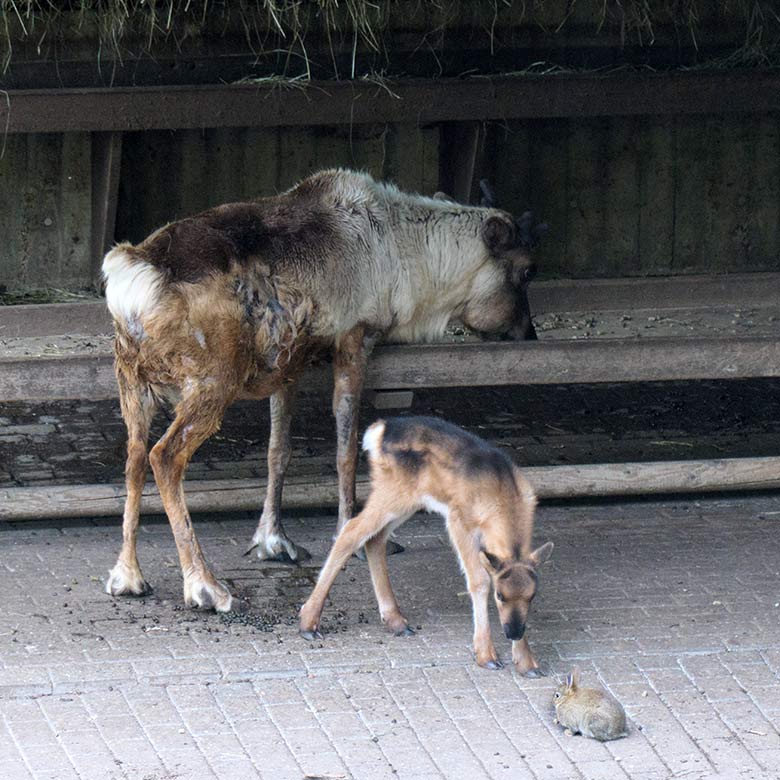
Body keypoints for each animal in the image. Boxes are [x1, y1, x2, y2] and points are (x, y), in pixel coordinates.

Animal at [300, 414, 556, 676]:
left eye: (532, 596)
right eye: (500, 595)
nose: (513, 631)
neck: (503, 498)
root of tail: (376, 432)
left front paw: (527, 663)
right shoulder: (458, 520)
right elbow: (479, 580)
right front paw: (486, 656)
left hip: (409, 500)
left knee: (375, 539)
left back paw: (396, 622)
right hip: (393, 492)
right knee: (351, 531)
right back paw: (308, 624)